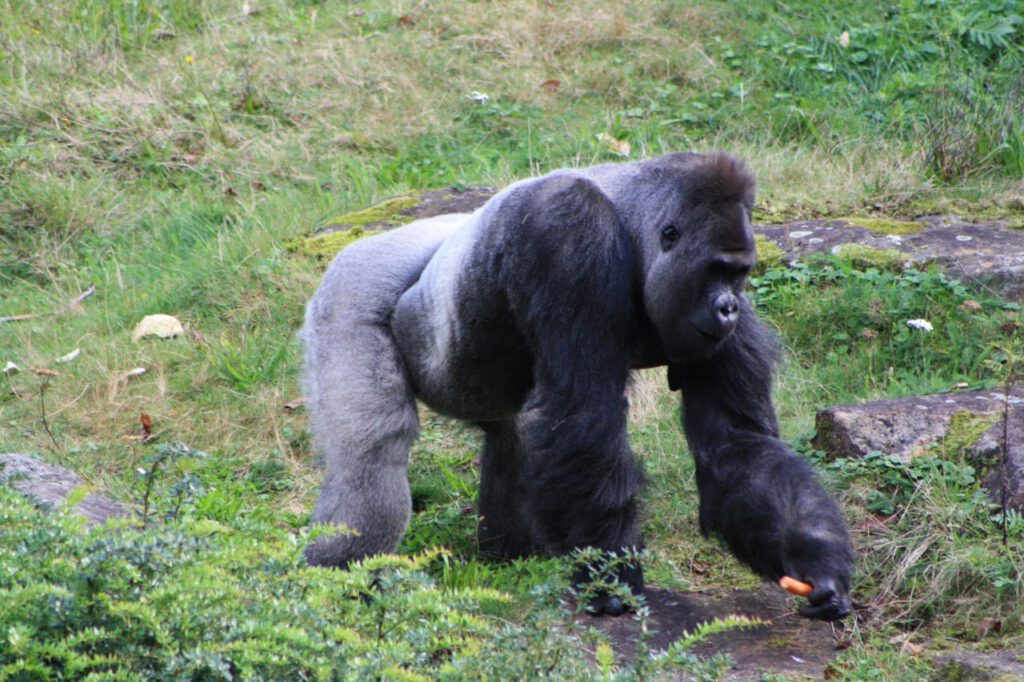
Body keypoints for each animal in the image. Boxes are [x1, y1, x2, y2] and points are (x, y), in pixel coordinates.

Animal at [299, 151, 856, 618]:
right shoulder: (570, 234)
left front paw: (813, 562)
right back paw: (332, 580)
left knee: (516, 435)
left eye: (739, 273)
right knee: (372, 456)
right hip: (349, 288)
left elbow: (734, 445)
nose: (728, 308)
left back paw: (509, 554)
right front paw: (613, 584)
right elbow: (586, 415)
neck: (631, 223)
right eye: (716, 270)